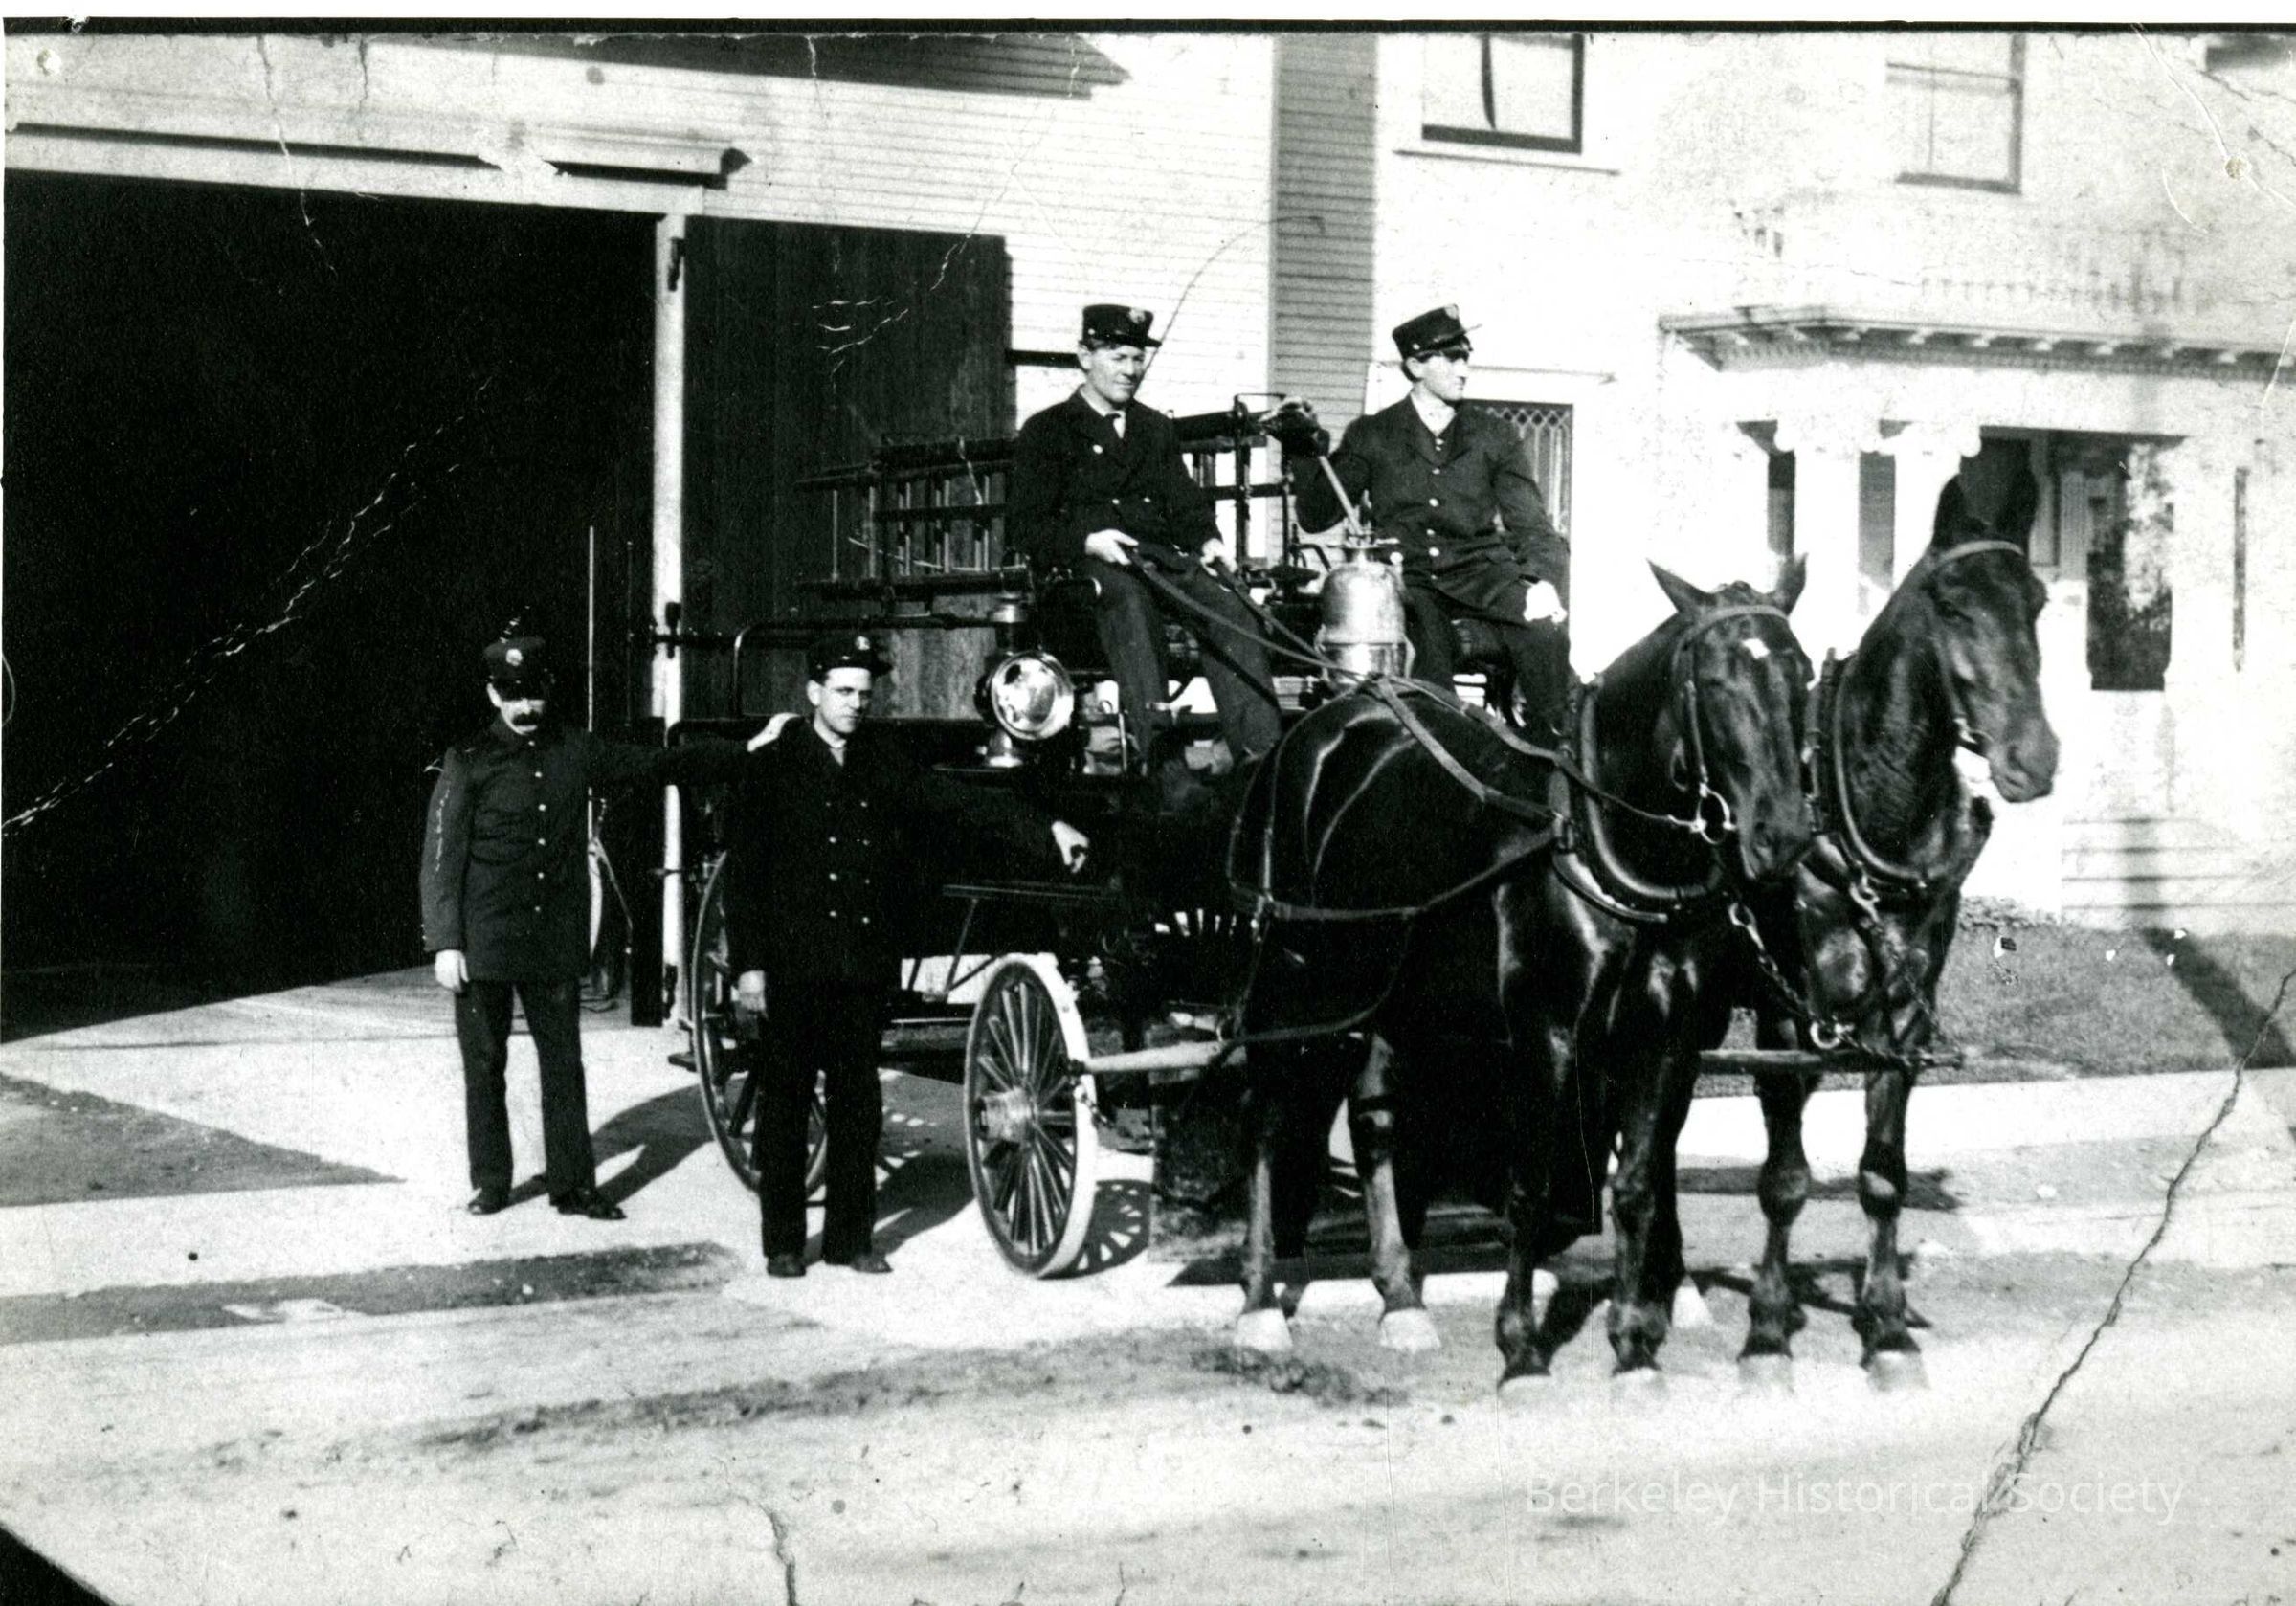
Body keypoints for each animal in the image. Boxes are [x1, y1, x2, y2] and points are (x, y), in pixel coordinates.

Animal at [1226, 559, 1816, 1395]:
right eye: (1714, 680)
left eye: (1801, 673)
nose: (1781, 836)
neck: (1600, 841)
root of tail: (1324, 721)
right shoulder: (1548, 1036)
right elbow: (1530, 1186)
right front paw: (1521, 1351)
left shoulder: (1664, 1042)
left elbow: (1637, 1184)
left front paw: (1634, 1346)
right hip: (1294, 971)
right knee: (1265, 1116)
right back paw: (1256, 1304)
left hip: (1394, 995)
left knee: (1374, 1122)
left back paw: (1400, 1297)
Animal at [1717, 473, 2057, 1392]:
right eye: (1951, 603)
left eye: (2037, 600)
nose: (2033, 757)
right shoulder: (1785, 1023)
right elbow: (1784, 1180)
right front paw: (1767, 1331)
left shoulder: (1901, 1025)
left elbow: (1880, 1178)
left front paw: (1886, 1326)